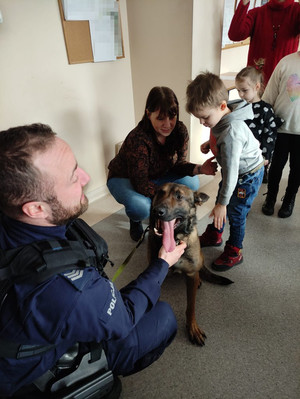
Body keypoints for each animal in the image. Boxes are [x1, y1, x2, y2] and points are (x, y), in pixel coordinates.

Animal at [149, 183, 233, 346]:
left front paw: (192, 327)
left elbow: (191, 307)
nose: (157, 211)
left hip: (199, 259)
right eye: (160, 193)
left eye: (179, 196)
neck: (175, 239)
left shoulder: (191, 274)